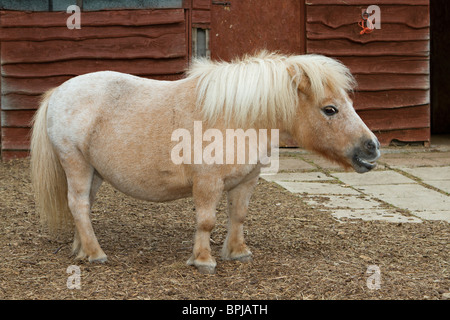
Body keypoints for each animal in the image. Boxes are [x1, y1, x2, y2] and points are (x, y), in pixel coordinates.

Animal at [29, 51, 378, 274]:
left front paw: (237, 253)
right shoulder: (208, 183)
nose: (371, 148)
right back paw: (96, 253)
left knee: (82, 206)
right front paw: (203, 260)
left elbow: (238, 216)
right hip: (76, 164)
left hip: (95, 172)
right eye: (330, 109)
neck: (238, 118)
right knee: (77, 204)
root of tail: (59, 91)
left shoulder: (246, 181)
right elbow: (207, 221)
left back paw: (82, 249)